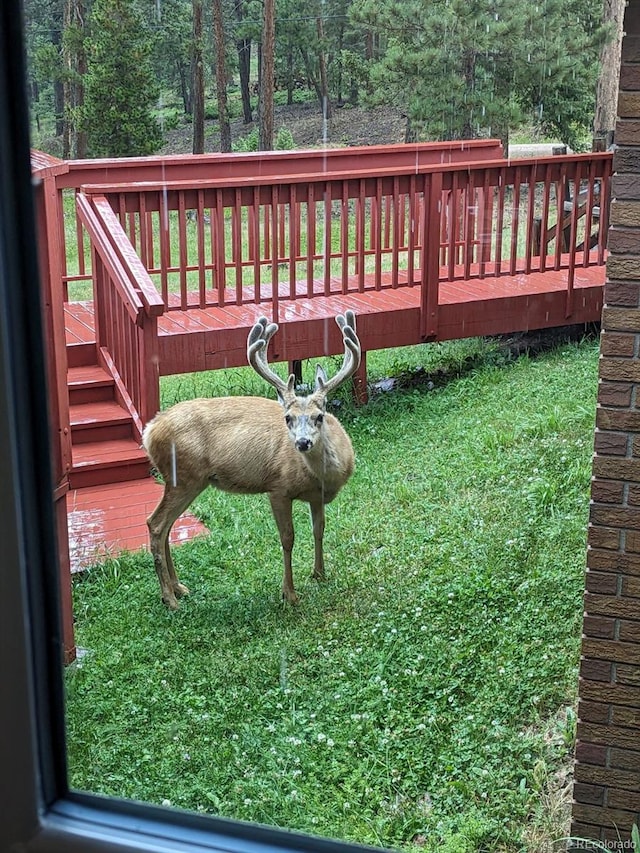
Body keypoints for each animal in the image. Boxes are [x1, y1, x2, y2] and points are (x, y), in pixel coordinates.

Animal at [142, 310, 360, 608]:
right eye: (288, 418)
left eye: (319, 416)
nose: (302, 443)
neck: (321, 477)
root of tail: (150, 431)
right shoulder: (278, 488)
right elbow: (288, 538)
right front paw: (289, 593)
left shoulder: (317, 496)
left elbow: (319, 529)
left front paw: (320, 573)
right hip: (184, 476)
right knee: (156, 524)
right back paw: (169, 598)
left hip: (189, 481)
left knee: (166, 526)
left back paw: (178, 588)